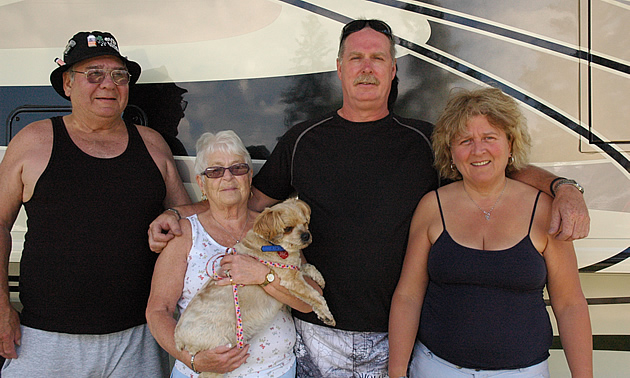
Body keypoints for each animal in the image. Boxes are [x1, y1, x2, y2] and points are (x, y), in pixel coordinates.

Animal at [175, 199, 336, 376]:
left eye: (306, 223)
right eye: (288, 228)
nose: (306, 235)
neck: (272, 245)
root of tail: (178, 337)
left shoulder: (294, 270)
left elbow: (308, 267)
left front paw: (319, 278)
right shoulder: (291, 280)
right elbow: (315, 296)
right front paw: (327, 314)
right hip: (216, 358)